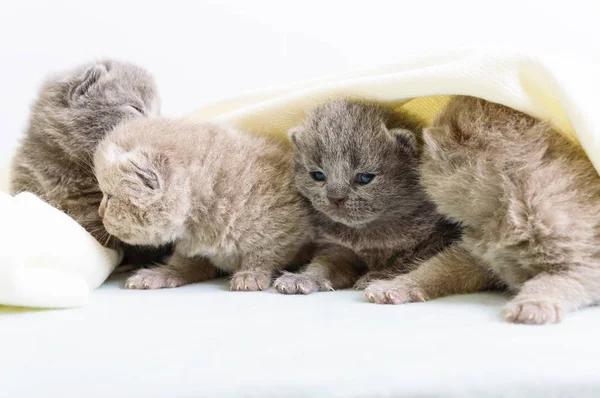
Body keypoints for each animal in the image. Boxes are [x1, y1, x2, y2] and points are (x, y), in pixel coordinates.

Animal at [92, 116, 314, 290]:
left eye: (109, 197)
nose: (100, 213)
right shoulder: (194, 249)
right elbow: (183, 265)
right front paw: (158, 275)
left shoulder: (287, 223)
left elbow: (265, 252)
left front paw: (250, 275)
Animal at [274, 98, 462, 296]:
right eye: (317, 175)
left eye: (364, 178)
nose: (335, 197)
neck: (366, 234)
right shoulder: (337, 248)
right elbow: (322, 264)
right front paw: (302, 277)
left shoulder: (439, 238)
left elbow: (413, 261)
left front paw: (377, 276)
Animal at [364, 95, 600, 324]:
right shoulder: (473, 257)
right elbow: (434, 269)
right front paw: (393, 285)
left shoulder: (584, 262)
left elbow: (554, 280)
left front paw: (532, 305)